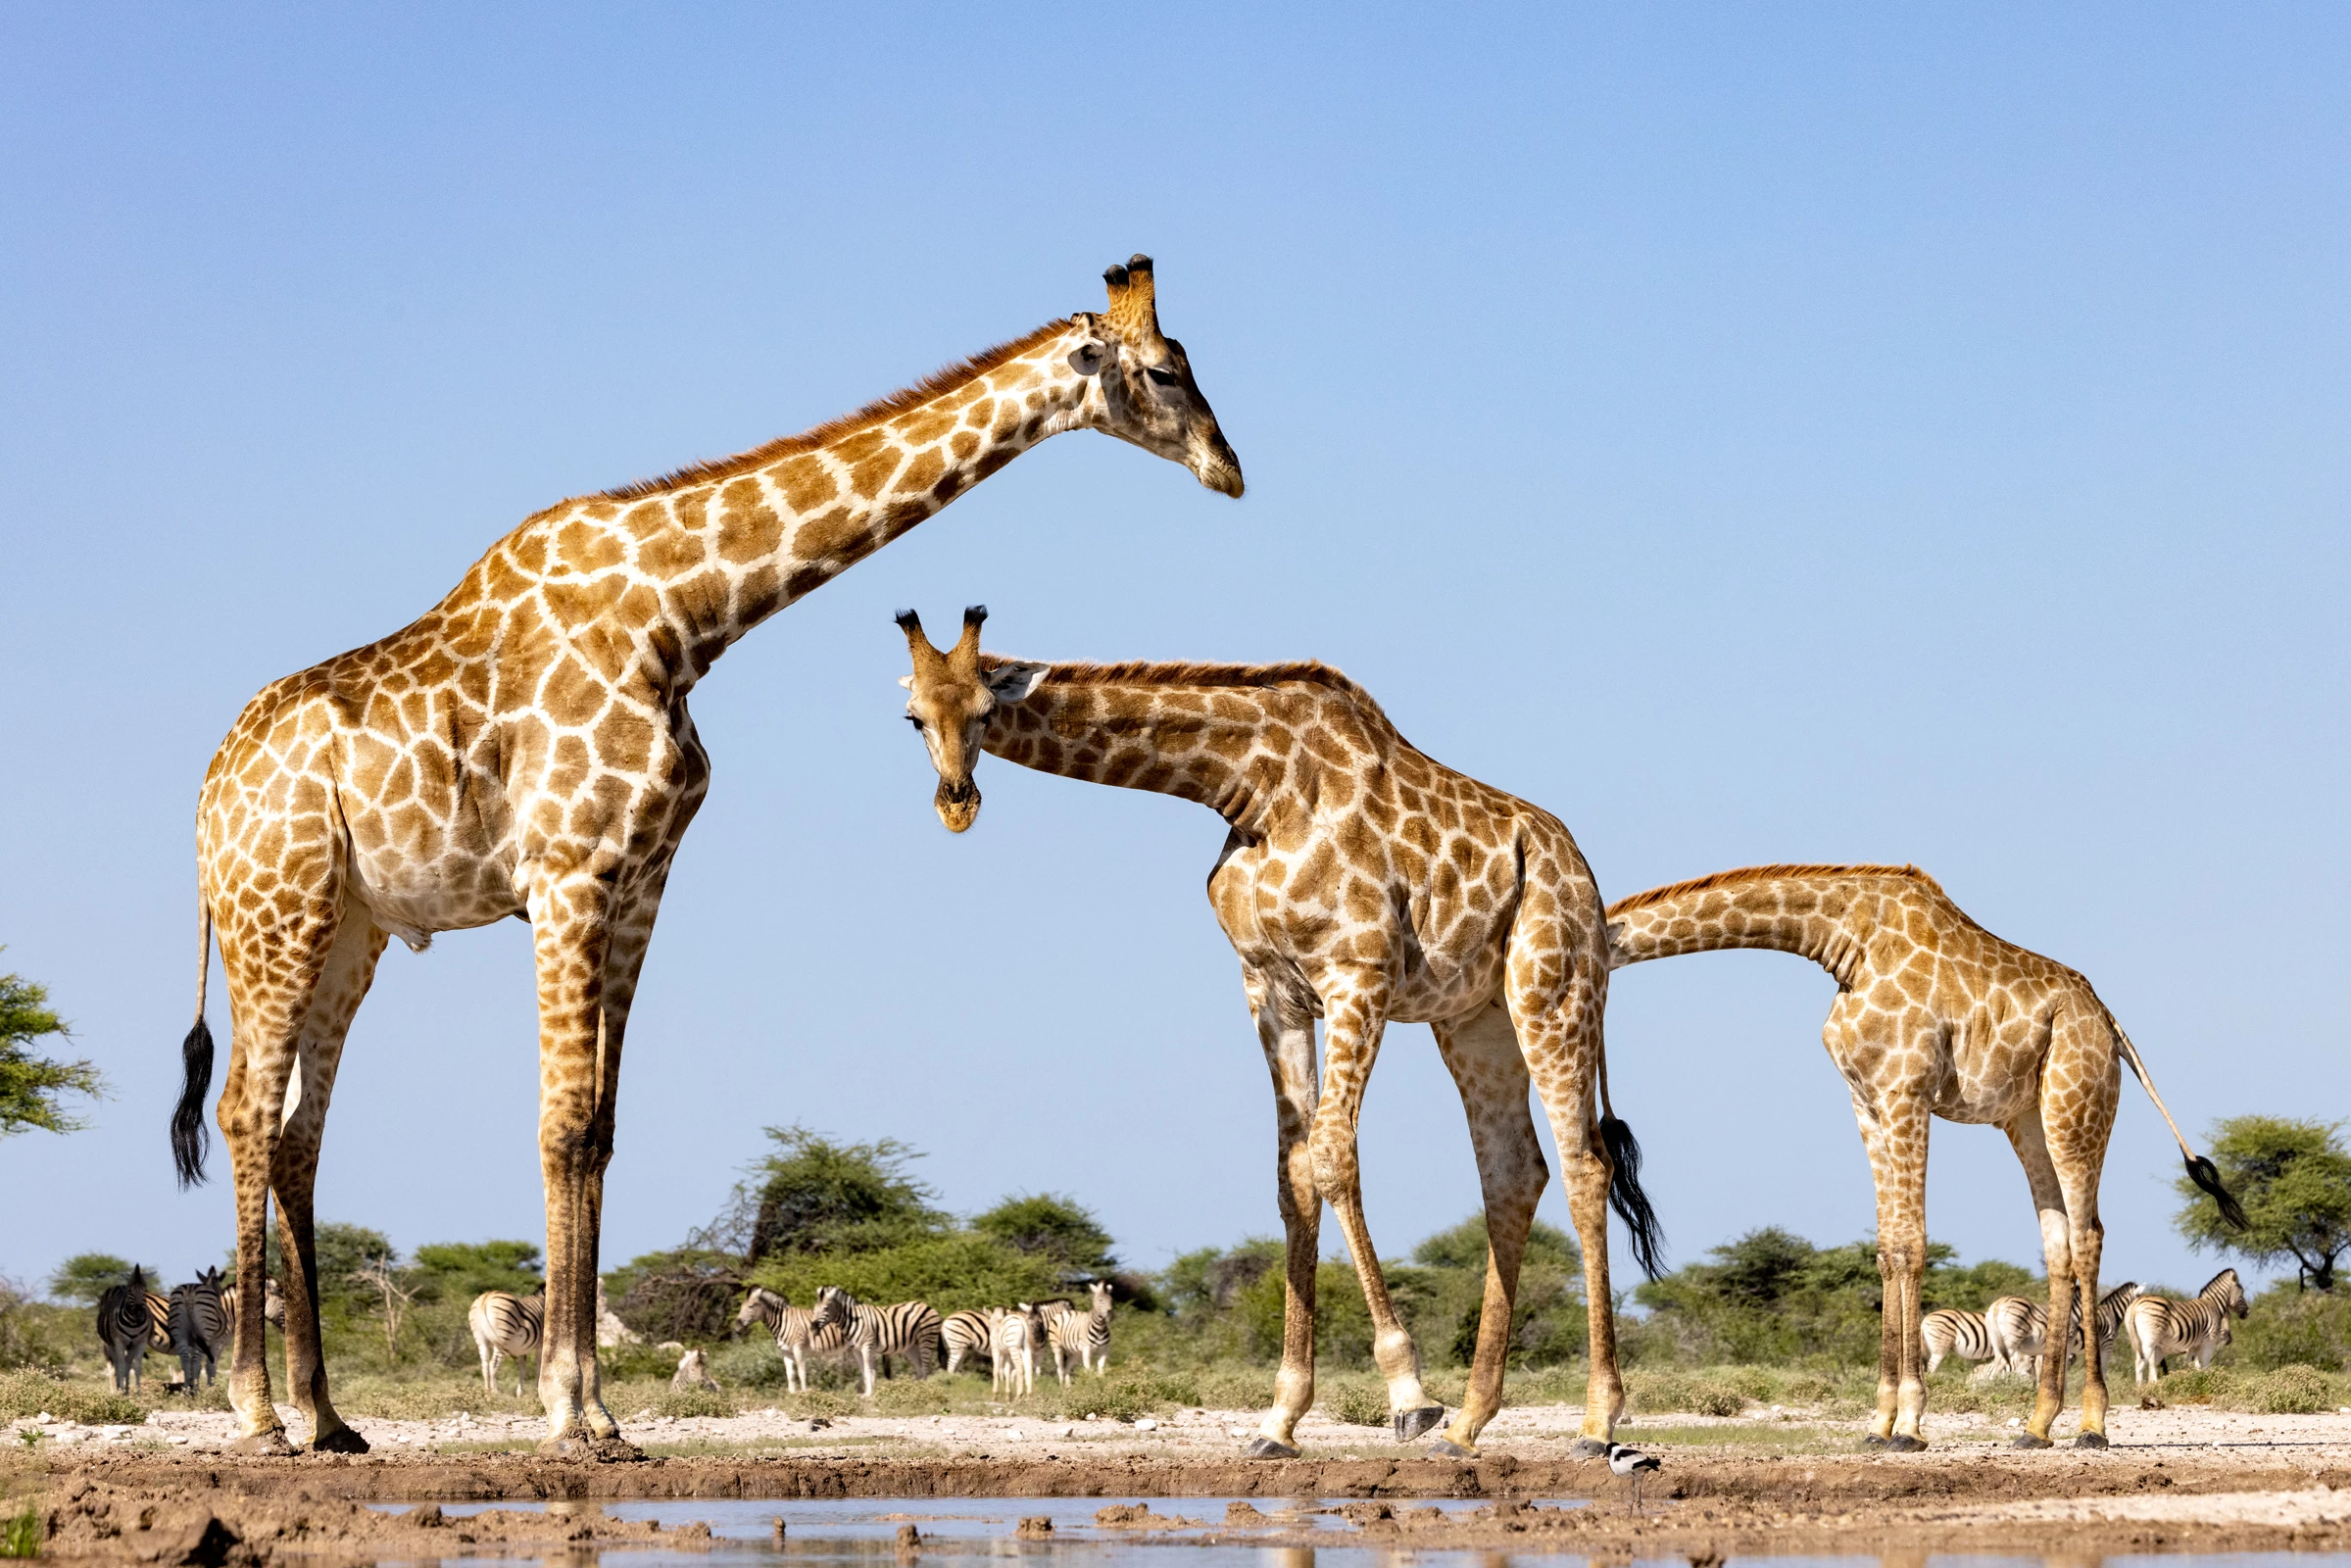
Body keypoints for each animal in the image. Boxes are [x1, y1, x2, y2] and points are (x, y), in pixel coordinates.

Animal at [167, 256, 1242, 1457]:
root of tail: (208, 798)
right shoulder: (568, 874)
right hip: (278, 909)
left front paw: (597, 1404)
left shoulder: (640, 881)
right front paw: (567, 1410)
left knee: (299, 1133)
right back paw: (259, 1412)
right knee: (246, 1111)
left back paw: (327, 1416)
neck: (683, 616)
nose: (1229, 469)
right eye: (1164, 371)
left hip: (351, 928)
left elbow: (597, 1130)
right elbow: (557, 1126)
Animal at [893, 608, 1663, 1459]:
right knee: (1513, 1172)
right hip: (1473, 1018)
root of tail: (1582, 873)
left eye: (984, 710)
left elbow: (1331, 1155)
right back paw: (1467, 1425)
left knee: (1584, 1163)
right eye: (912, 718)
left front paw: (1407, 1393)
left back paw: (1593, 1420)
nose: (956, 803)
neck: (1252, 788)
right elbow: (1290, 1174)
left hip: (1551, 990)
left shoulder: (1356, 973)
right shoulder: (1270, 988)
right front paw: (1281, 1417)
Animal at [1603, 863, 2245, 1450]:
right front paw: (1879, 1422)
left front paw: (1909, 1425)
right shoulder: (1866, 1102)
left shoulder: (1906, 1092)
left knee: (2088, 1236)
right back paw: (2037, 1426)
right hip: (2026, 1119)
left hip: (2075, 1104)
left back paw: (2092, 1425)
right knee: (2058, 1239)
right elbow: (1888, 1249)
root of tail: (2109, 1021)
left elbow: (1913, 1245)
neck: (1844, 943)